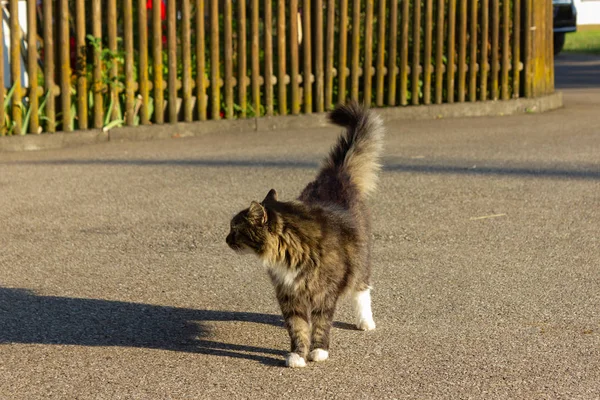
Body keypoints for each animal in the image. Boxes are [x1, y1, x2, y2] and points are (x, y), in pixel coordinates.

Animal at [225, 101, 384, 368]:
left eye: (235, 229)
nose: (225, 239)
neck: (291, 254)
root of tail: (335, 175)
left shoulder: (324, 294)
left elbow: (320, 325)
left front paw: (318, 351)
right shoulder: (289, 297)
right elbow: (297, 327)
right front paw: (298, 355)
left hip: (360, 260)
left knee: (362, 289)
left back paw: (365, 322)